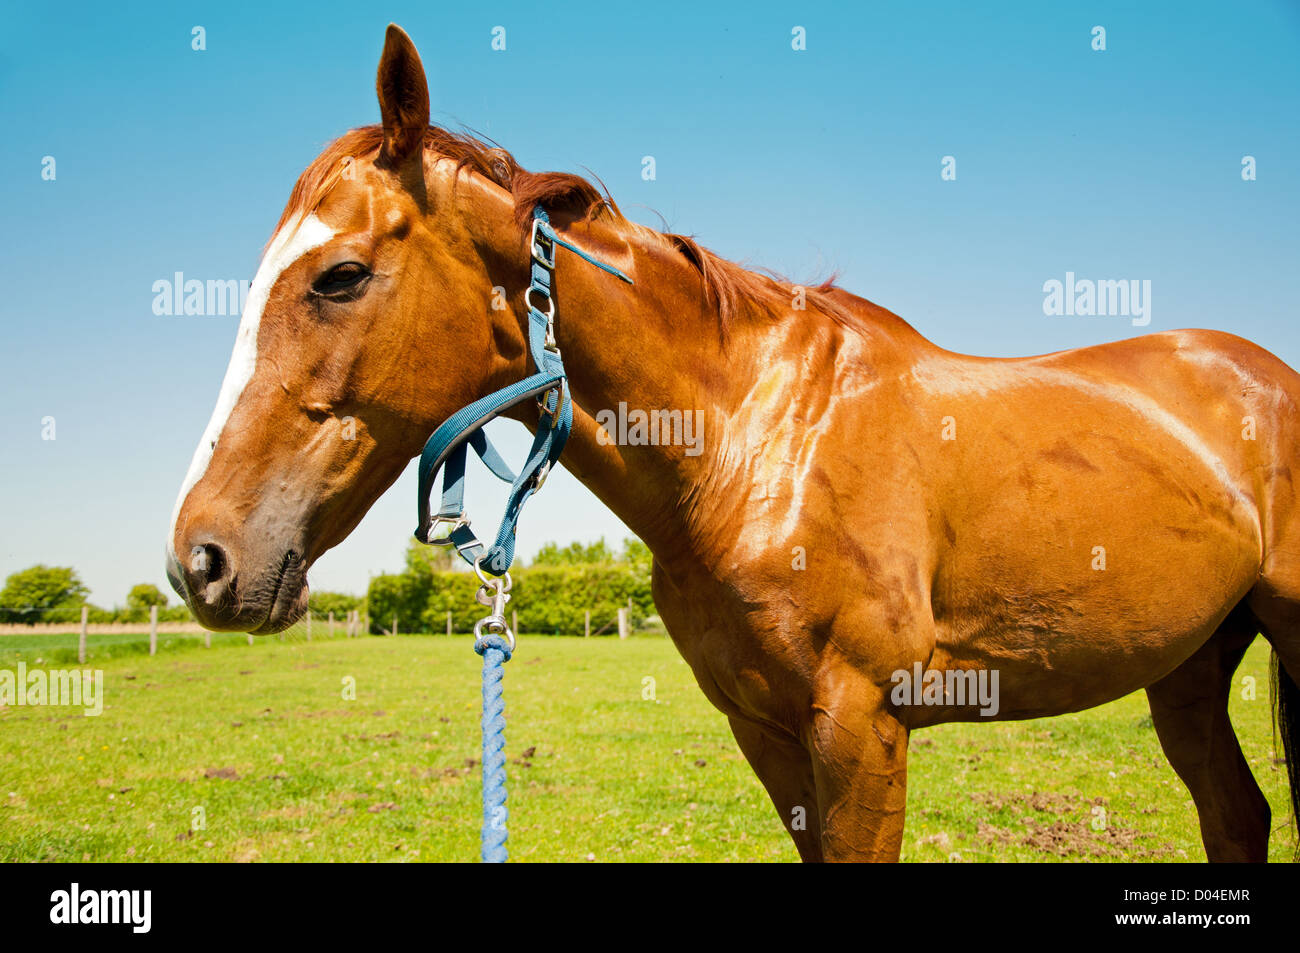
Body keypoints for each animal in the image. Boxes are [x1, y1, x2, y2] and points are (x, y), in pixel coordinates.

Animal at [167, 26, 1300, 863]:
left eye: (340, 275)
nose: (202, 559)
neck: (754, 445)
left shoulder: (862, 723)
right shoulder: (766, 730)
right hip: (1188, 665)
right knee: (1236, 813)